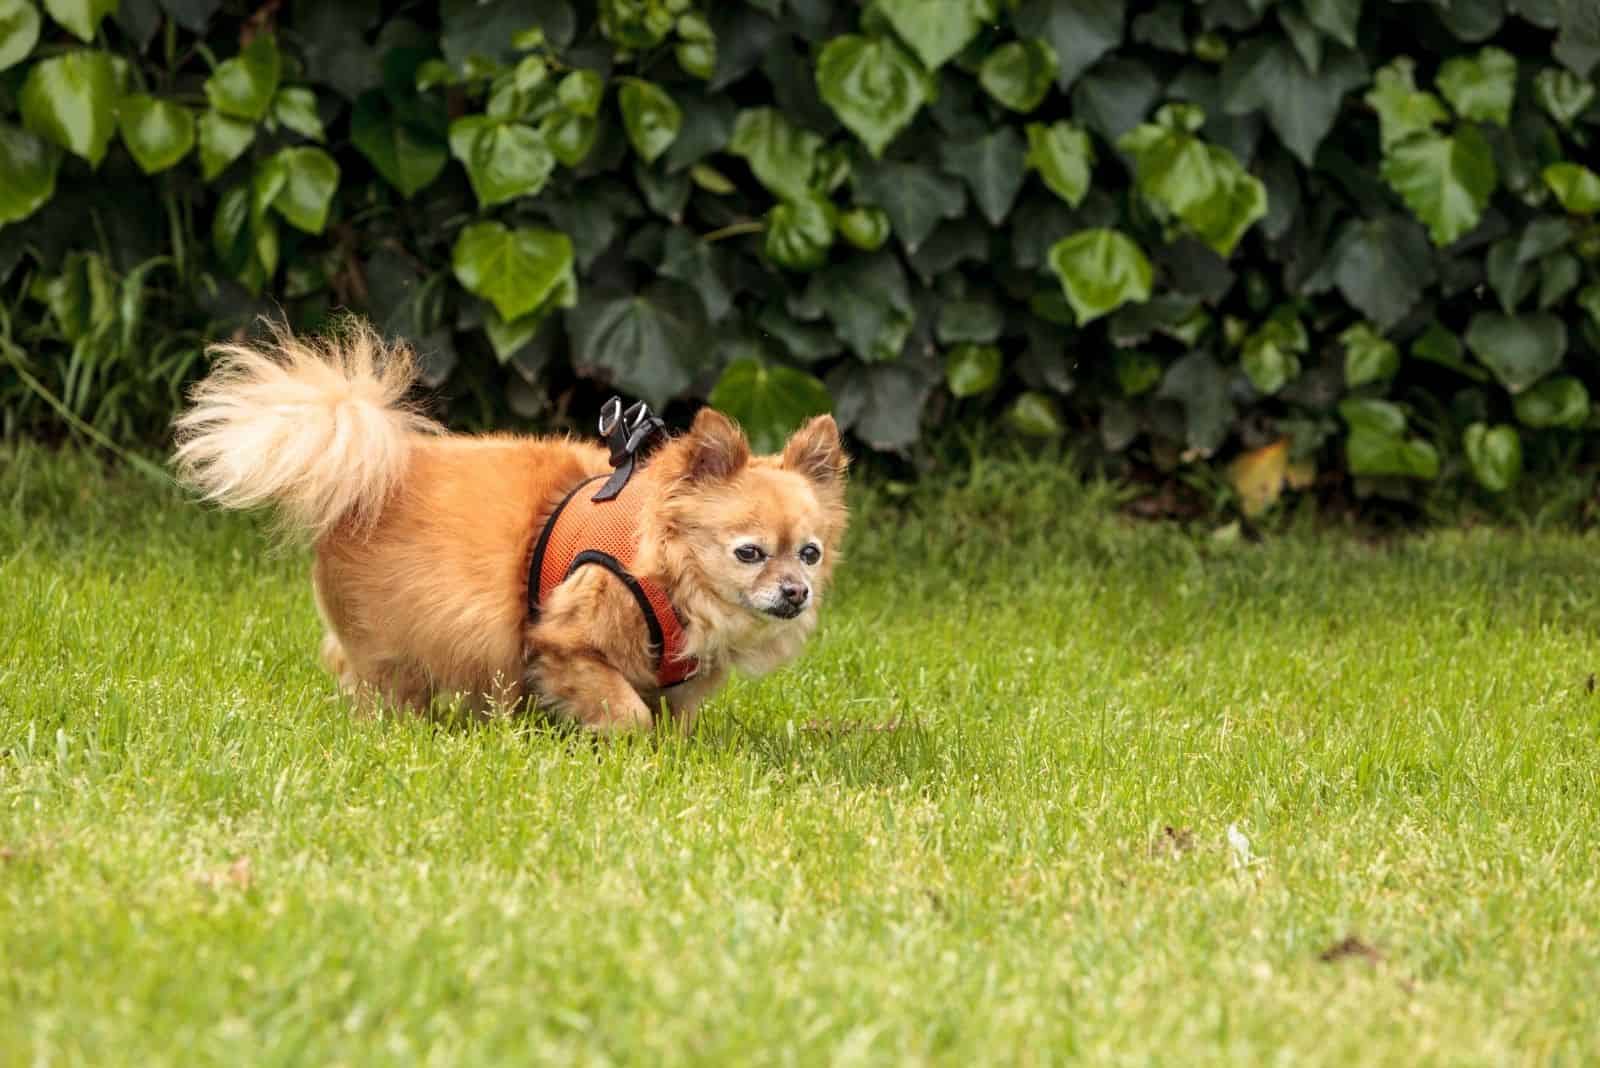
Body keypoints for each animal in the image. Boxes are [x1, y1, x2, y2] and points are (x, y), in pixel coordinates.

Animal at [172, 321, 851, 729]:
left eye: (810, 554)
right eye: (749, 553)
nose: (797, 592)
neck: (669, 574)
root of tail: (371, 473)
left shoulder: (678, 682)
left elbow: (672, 716)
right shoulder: (564, 642)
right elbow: (627, 709)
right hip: (395, 644)